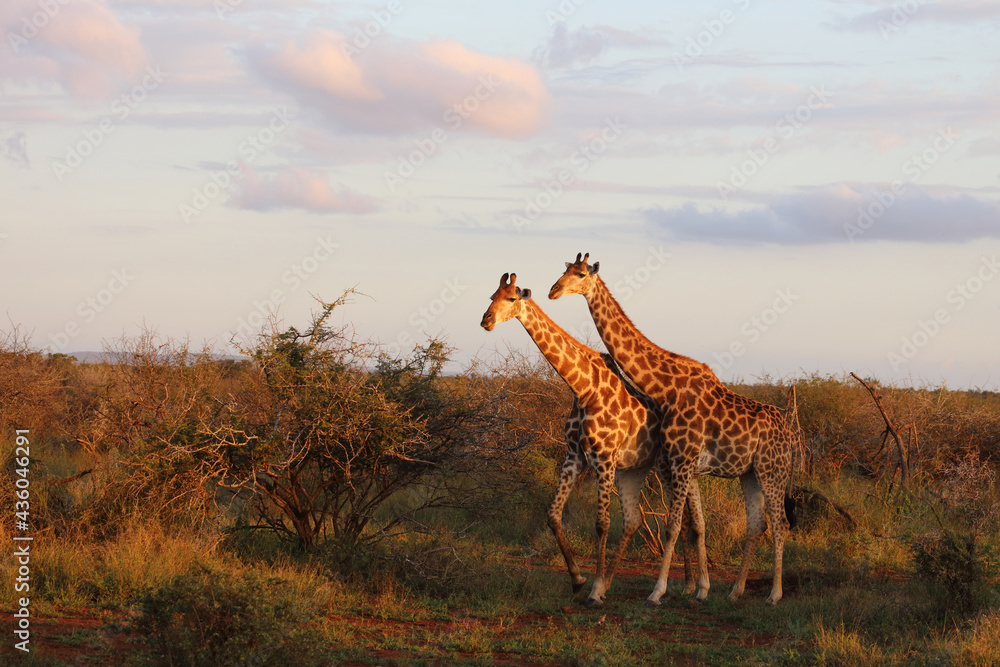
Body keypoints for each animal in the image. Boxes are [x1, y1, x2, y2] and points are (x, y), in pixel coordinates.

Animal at [480, 272, 710, 606]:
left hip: (668, 466)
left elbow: (602, 524)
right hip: (637, 469)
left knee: (683, 519)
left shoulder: (603, 459)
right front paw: (579, 581)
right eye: (490, 297)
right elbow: (553, 515)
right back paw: (672, 584)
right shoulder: (574, 456)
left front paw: (594, 589)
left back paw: (682, 586)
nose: (485, 320)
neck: (582, 387)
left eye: (510, 298)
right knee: (638, 520)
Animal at [549, 253, 798, 606]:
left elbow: (673, 526)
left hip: (773, 470)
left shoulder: (681, 460)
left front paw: (658, 591)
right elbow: (694, 524)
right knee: (756, 524)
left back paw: (774, 594)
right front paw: (697, 589)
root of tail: (790, 432)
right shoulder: (682, 463)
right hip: (749, 473)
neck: (665, 386)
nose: (553, 290)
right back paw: (735, 591)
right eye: (564, 270)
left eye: (581, 274)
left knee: (780, 523)